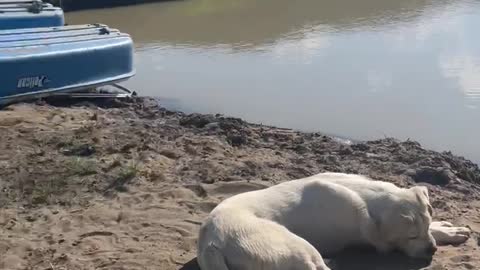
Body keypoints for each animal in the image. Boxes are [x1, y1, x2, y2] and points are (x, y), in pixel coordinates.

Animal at [197, 173, 470, 270]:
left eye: (424, 229)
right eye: (410, 237)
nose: (432, 250)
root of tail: (210, 242)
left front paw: (449, 230)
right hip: (294, 245)